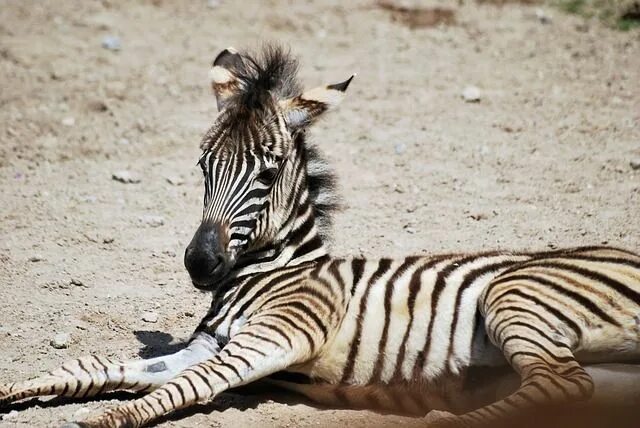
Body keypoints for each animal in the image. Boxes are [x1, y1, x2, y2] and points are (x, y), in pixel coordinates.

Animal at [1, 45, 640, 426]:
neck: (275, 269)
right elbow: (97, 367)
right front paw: (18, 387)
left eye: (266, 174)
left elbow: (189, 387)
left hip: (516, 294)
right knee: (576, 386)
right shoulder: (205, 344)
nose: (199, 264)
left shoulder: (280, 334)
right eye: (204, 167)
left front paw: (108, 419)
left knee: (563, 382)